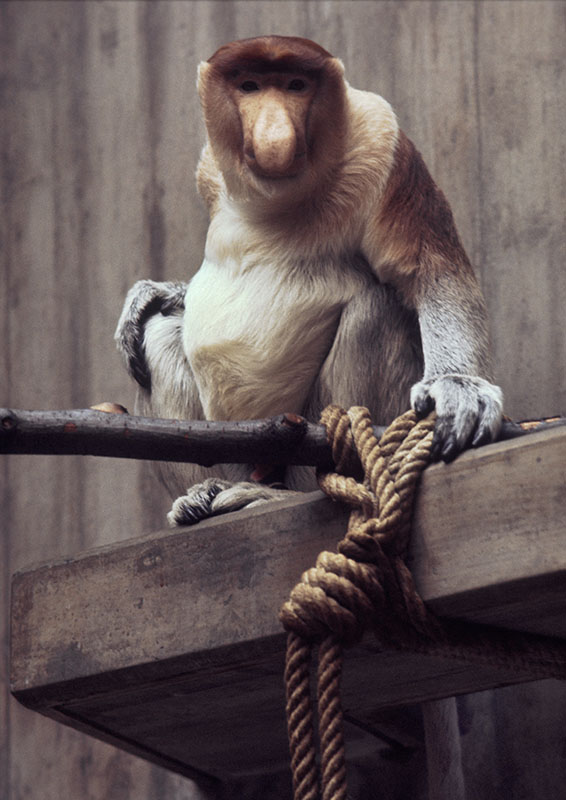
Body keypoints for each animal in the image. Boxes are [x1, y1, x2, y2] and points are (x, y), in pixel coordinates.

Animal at [115, 35, 503, 528]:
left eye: (296, 86)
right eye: (250, 85)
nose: (274, 134)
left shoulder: (383, 143)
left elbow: (429, 270)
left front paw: (457, 388)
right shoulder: (209, 169)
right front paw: (154, 293)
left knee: (374, 310)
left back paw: (273, 496)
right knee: (158, 332)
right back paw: (208, 492)